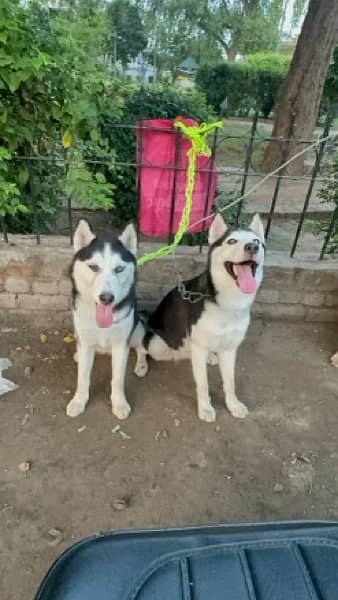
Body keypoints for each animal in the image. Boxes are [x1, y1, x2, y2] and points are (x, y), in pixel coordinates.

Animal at [66, 218, 146, 420]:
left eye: (119, 269)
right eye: (94, 267)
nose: (107, 298)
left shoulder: (121, 344)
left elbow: (117, 378)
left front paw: (119, 403)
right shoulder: (85, 341)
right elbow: (82, 376)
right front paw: (79, 401)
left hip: (137, 329)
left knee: (142, 348)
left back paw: (142, 365)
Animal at [139, 213, 266, 424]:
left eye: (256, 241)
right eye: (232, 241)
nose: (252, 247)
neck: (228, 303)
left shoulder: (230, 348)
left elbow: (230, 382)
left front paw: (233, 404)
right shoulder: (199, 347)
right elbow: (203, 384)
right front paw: (205, 408)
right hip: (158, 344)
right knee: (142, 346)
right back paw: (141, 364)